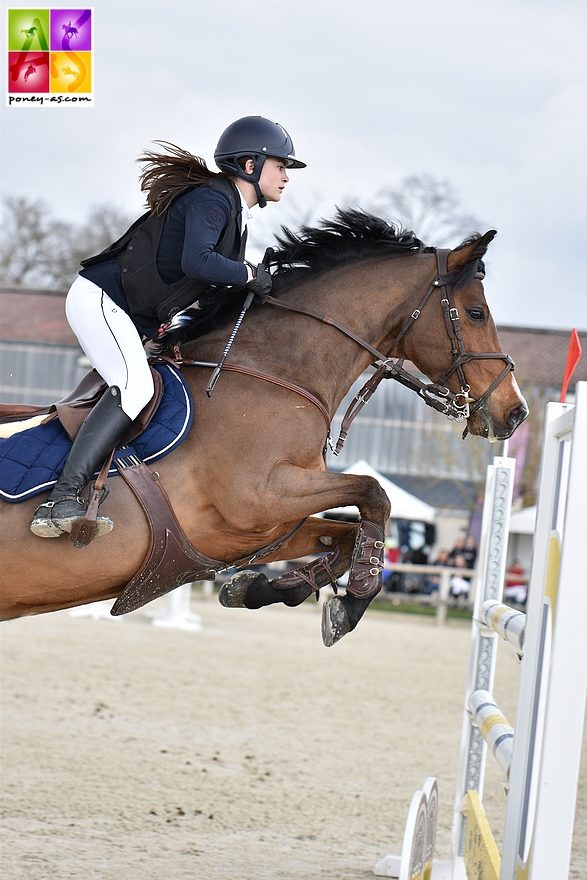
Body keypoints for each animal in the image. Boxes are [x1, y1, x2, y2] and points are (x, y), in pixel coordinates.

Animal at [0, 209, 528, 644]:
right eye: (476, 313)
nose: (516, 412)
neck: (272, 373)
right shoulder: (259, 496)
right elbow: (375, 493)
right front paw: (353, 601)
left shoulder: (260, 527)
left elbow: (343, 536)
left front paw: (260, 589)